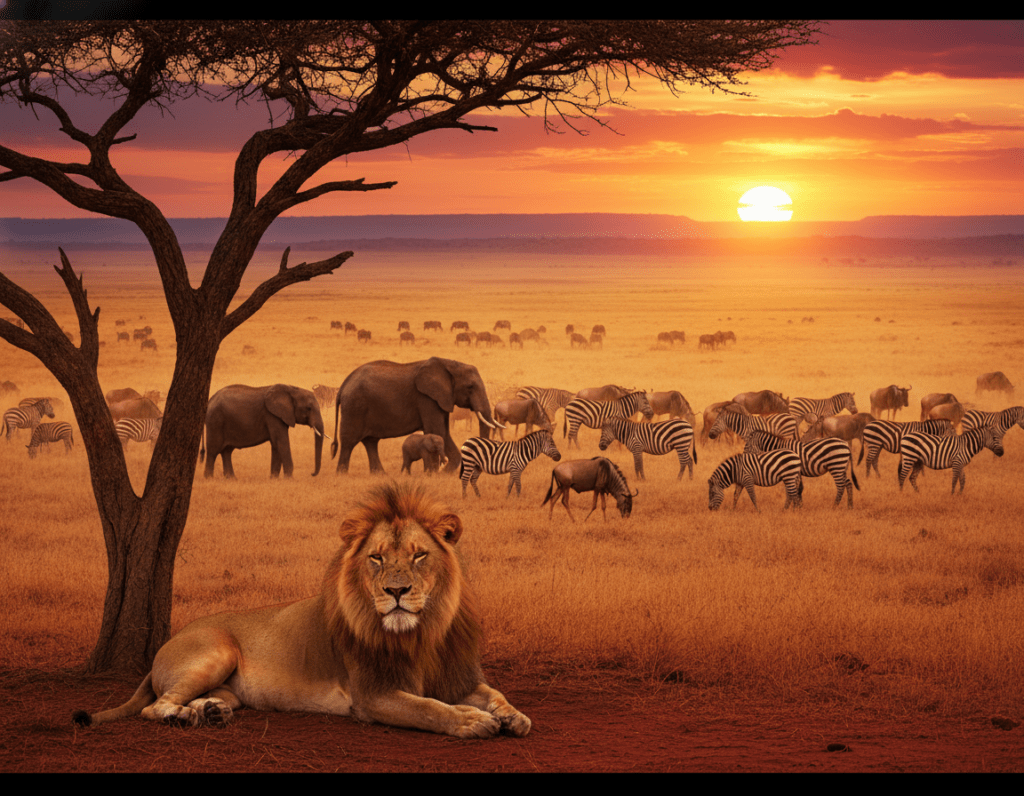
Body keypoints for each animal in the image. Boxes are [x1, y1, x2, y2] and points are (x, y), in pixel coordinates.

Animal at [72, 481, 531, 739]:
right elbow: (429, 708)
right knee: (153, 707)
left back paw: (211, 713)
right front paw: (470, 721)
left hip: (226, 686)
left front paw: (514, 717)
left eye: (419, 556)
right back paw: (185, 719)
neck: (423, 632)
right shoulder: (374, 695)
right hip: (215, 652)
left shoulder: (459, 676)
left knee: (196, 700)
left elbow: (495, 694)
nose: (396, 590)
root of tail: (169, 642)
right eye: (377, 558)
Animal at [331, 357, 503, 474]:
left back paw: (380, 475)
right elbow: (437, 430)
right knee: (349, 441)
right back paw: (342, 474)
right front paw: (438, 473)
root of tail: (344, 384)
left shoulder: (441, 399)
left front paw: (444, 473)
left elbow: (444, 431)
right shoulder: (426, 398)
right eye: (470, 387)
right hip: (355, 406)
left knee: (371, 442)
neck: (449, 363)